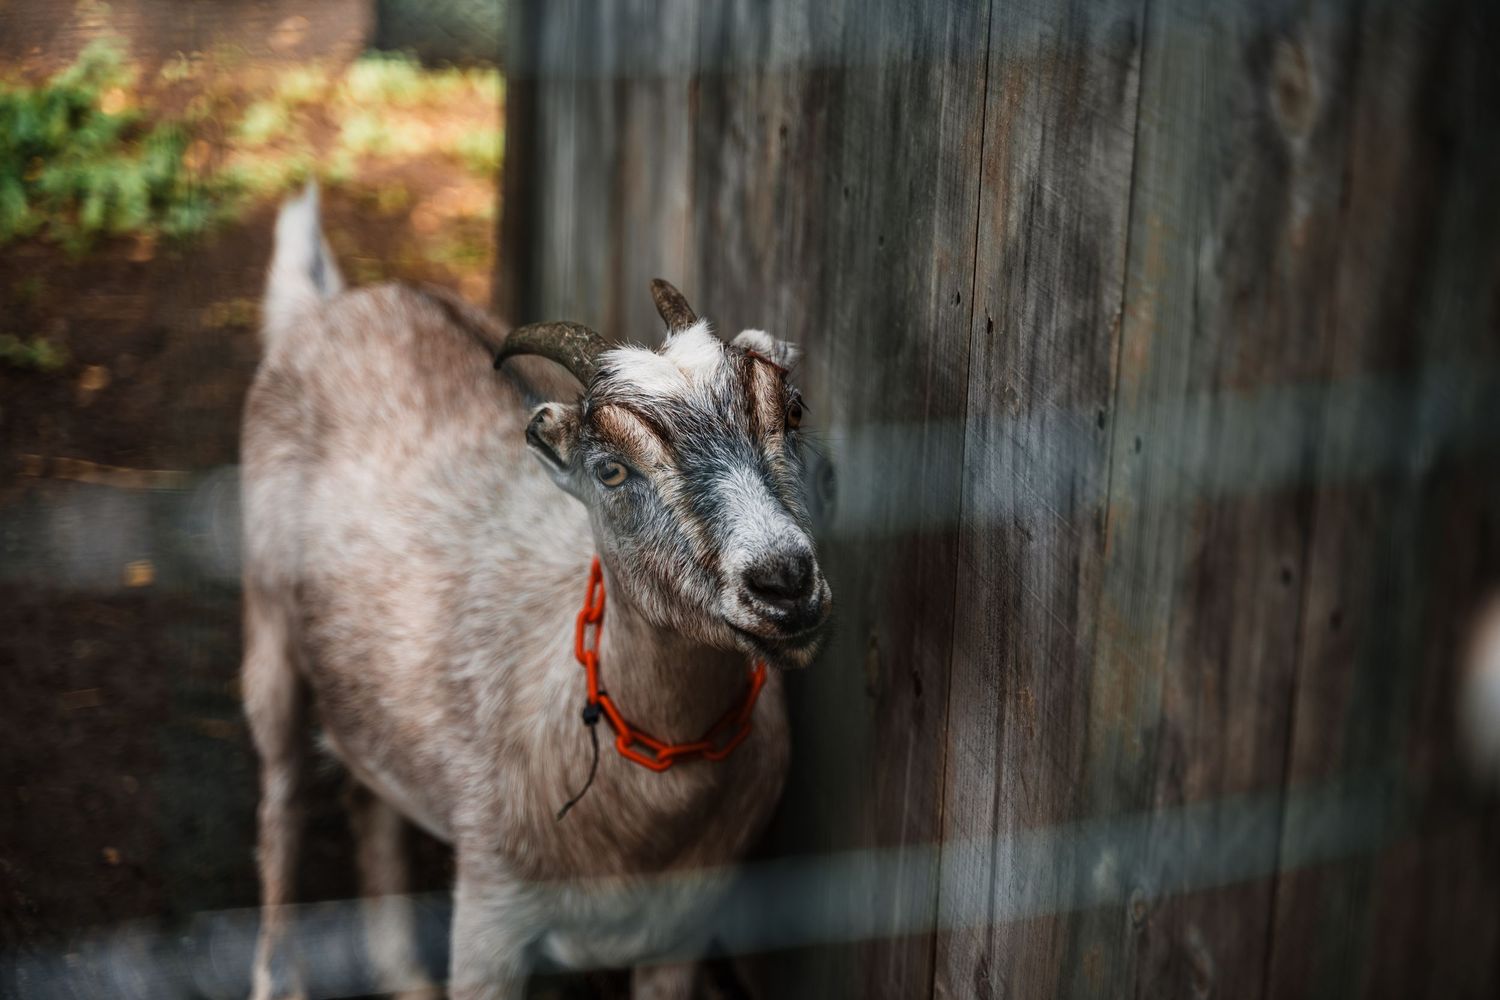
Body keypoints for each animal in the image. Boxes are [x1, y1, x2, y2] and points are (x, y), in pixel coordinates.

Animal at [241, 186, 832, 1000]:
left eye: (792, 410)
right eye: (610, 468)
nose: (784, 581)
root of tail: (330, 307)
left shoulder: (681, 932)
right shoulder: (492, 916)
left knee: (366, 792)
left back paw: (404, 974)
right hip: (267, 627)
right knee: (283, 800)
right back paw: (278, 974)